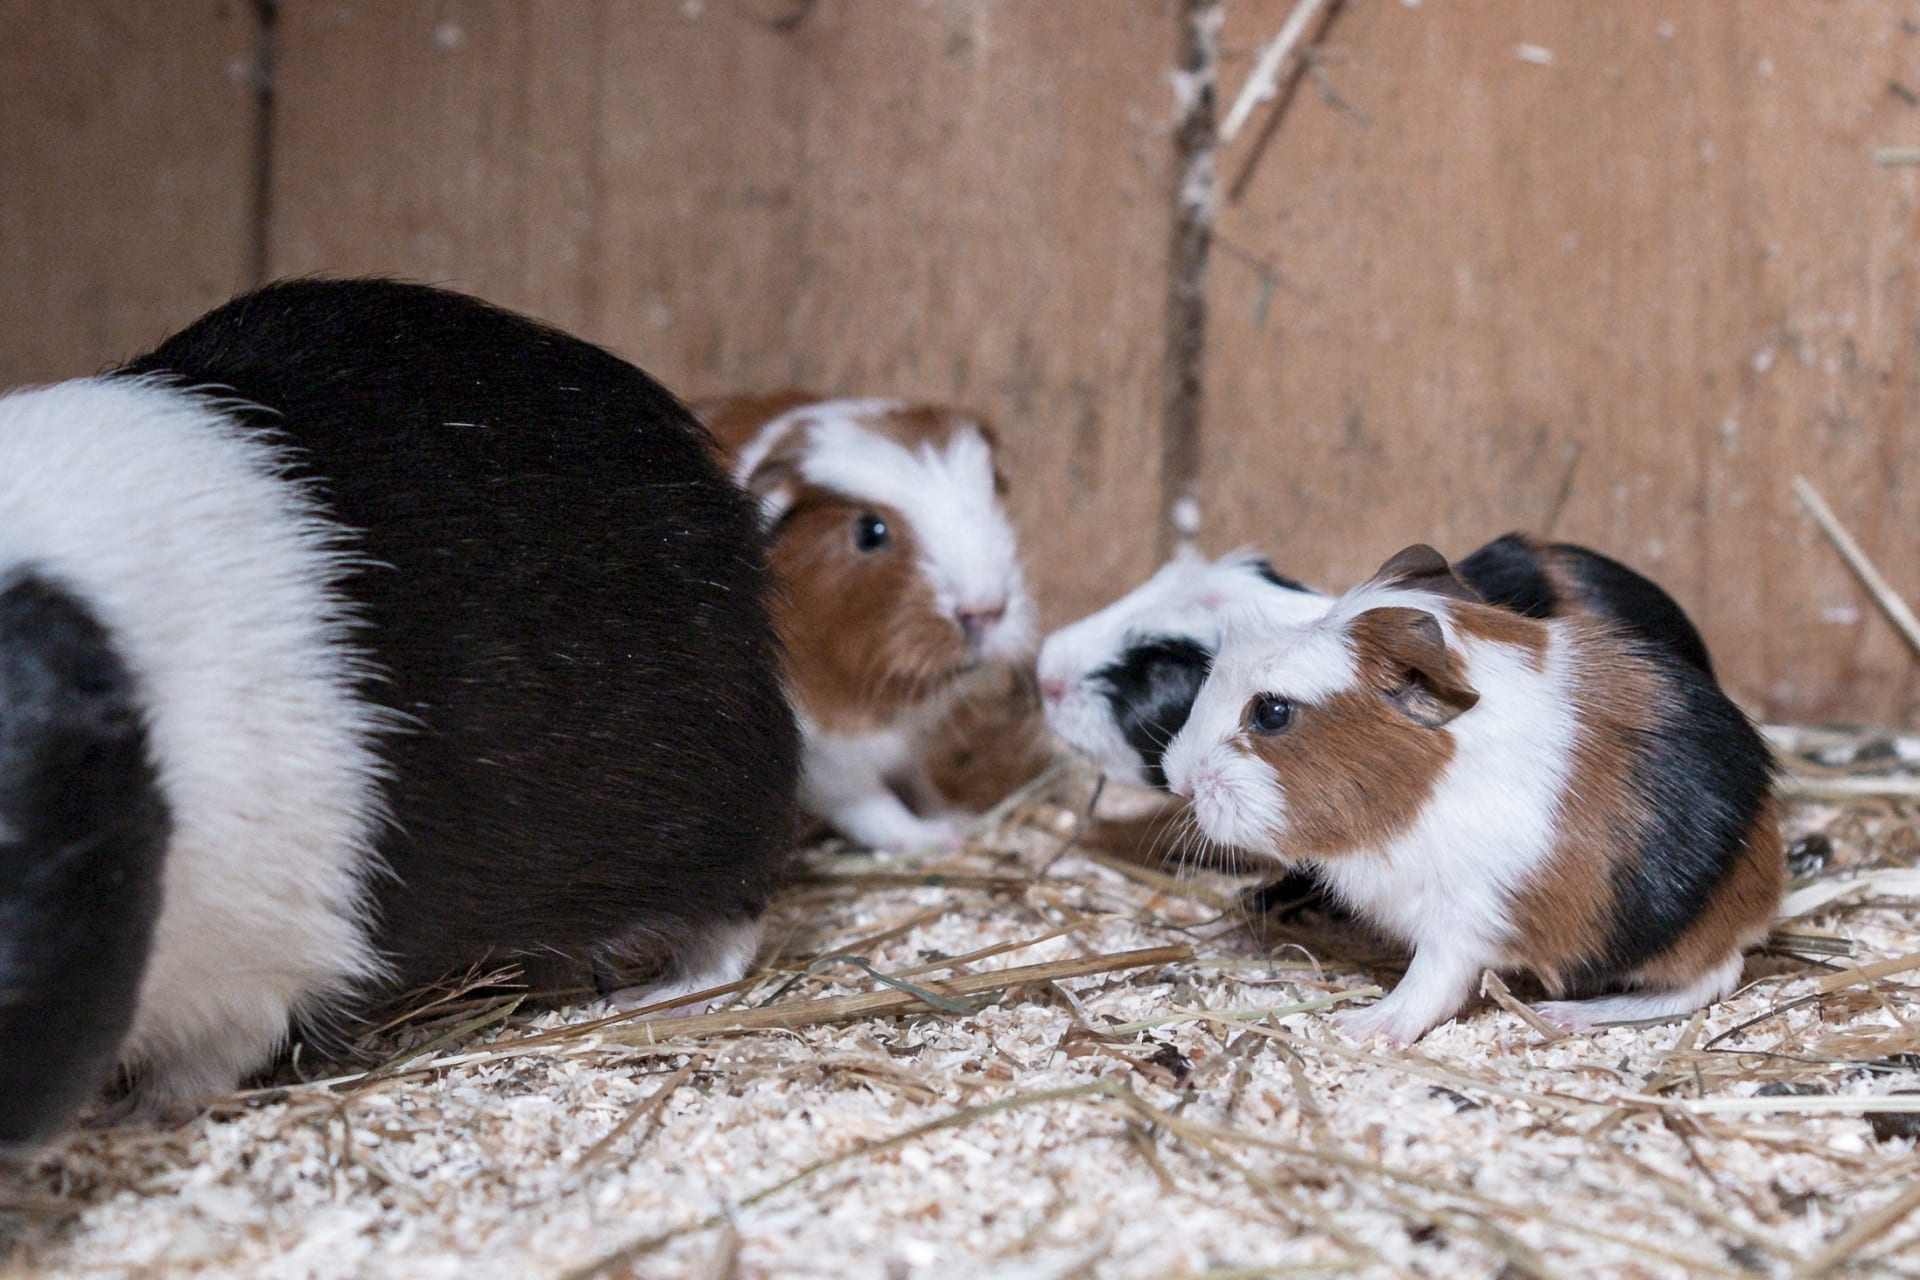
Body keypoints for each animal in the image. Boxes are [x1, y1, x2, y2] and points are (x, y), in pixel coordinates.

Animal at [0, 278, 799, 1147]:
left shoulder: (251, 962)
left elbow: (207, 1061)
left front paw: (133, 1119)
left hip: (708, 819)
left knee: (732, 926)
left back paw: (644, 1001)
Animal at [698, 393, 1035, 853]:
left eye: (992, 499)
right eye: (870, 531)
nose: (985, 610)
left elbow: (915, 780)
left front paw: (956, 814)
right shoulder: (828, 758)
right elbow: (874, 809)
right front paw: (944, 836)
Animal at [1161, 544, 1782, 1046]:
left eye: (1271, 712)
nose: (1179, 777)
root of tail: (1764, 887)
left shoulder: (1463, 921)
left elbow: (1427, 987)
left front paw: (1356, 1028)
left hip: (1673, 940)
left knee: (1708, 980)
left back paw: (1563, 1015)